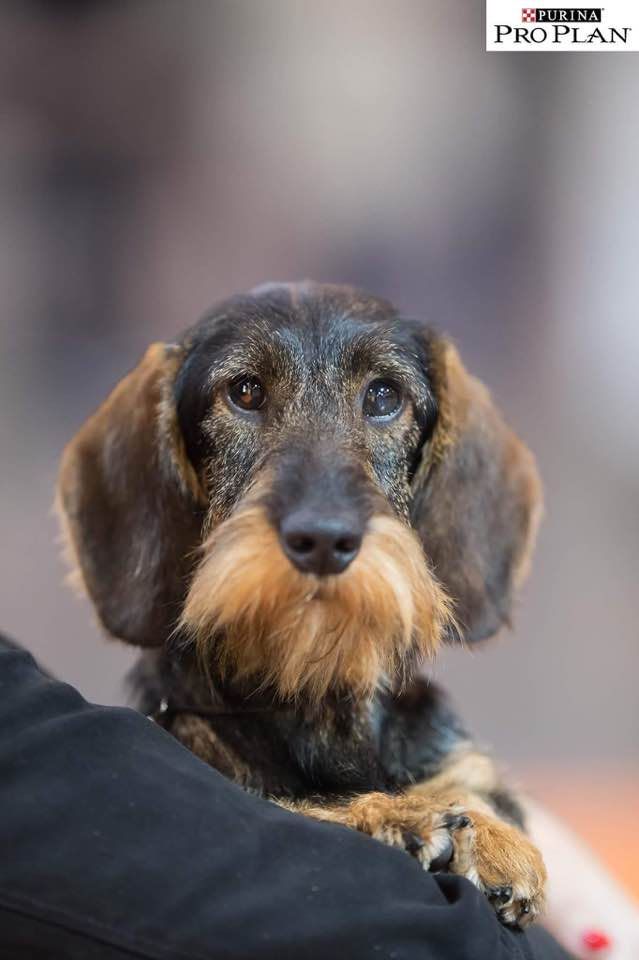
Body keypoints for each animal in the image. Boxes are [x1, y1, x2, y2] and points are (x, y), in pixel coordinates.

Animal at [56, 282, 544, 928]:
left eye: (383, 395)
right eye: (245, 392)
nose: (323, 539)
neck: (315, 690)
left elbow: (469, 779)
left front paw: (490, 834)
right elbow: (294, 806)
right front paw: (397, 816)